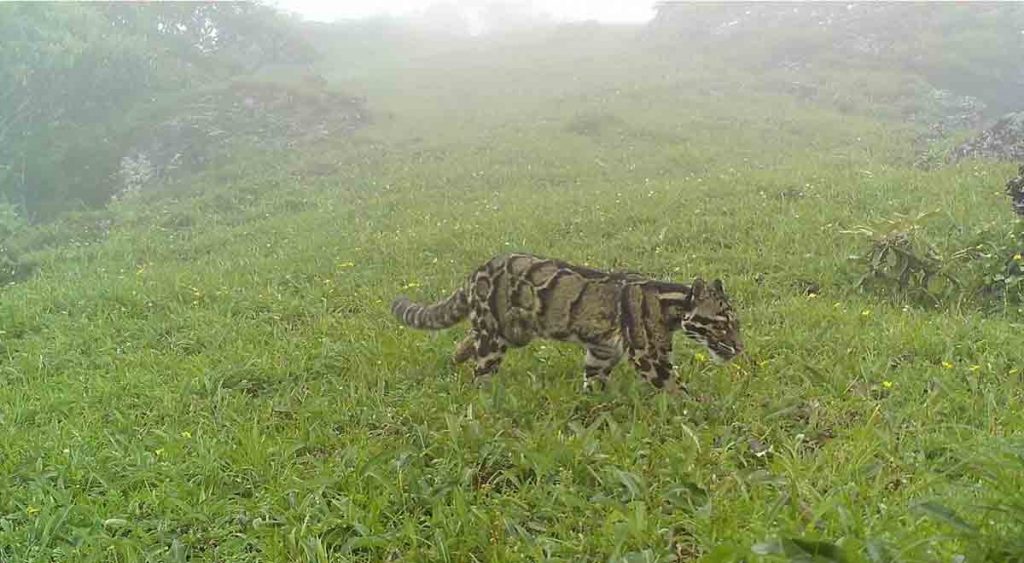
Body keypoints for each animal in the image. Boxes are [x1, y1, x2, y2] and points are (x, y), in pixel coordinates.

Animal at [387, 254, 741, 393]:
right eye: (722, 324)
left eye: (736, 324)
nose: (739, 347)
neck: (671, 303)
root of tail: (478, 270)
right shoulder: (650, 357)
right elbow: (677, 389)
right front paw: (701, 413)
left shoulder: (601, 351)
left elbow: (594, 380)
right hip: (495, 338)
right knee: (481, 369)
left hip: (512, 333)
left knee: (469, 339)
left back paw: (457, 355)